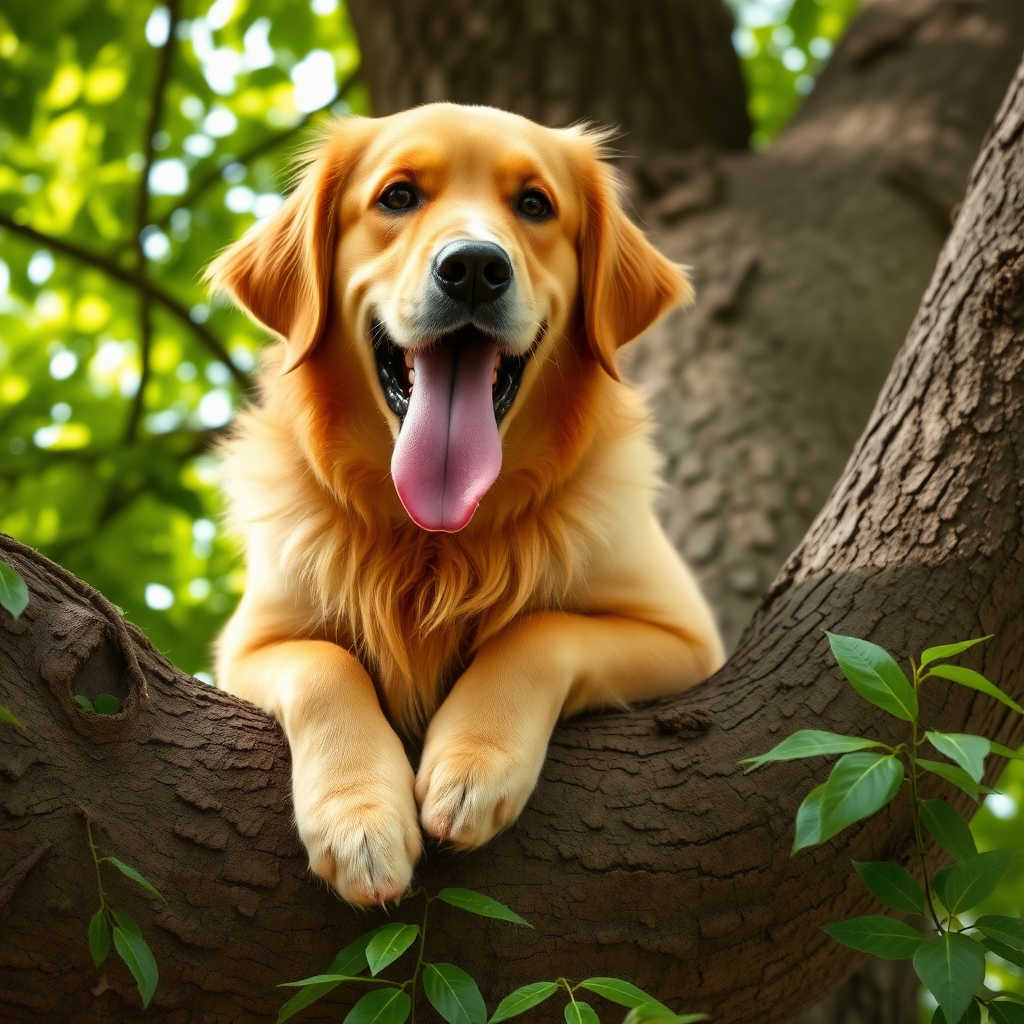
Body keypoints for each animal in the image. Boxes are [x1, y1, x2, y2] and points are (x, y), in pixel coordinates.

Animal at [205, 101, 720, 905]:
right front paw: (359, 818)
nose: (474, 266)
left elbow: (538, 629)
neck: (436, 538)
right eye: (398, 196)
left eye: (534, 205)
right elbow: (325, 662)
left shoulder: (689, 641)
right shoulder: (247, 646)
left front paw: (474, 763)